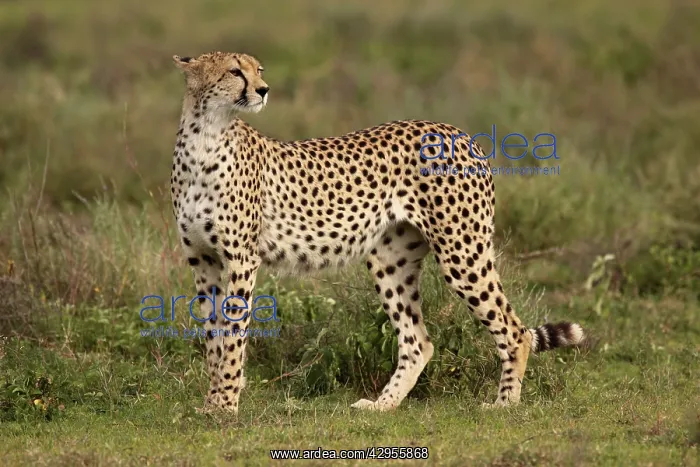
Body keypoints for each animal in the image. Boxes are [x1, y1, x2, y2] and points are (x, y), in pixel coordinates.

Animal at [169, 51, 585, 414]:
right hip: (390, 260)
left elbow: (232, 337)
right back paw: (383, 405)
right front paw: (212, 402)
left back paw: (505, 404)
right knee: (419, 341)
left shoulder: (242, 258)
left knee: (514, 330)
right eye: (234, 71)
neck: (205, 136)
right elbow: (213, 334)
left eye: (258, 69)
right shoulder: (202, 260)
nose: (264, 89)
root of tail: (457, 132)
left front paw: (226, 405)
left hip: (462, 252)